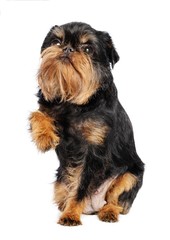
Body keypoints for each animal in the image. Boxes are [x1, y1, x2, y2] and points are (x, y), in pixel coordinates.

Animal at [29, 21, 143, 226]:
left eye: (88, 49)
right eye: (57, 42)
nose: (67, 48)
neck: (73, 103)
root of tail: (93, 208)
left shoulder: (93, 153)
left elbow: (81, 186)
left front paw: (71, 215)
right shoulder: (47, 108)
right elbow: (37, 114)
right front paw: (44, 137)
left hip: (131, 175)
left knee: (116, 201)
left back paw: (108, 213)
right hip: (60, 182)